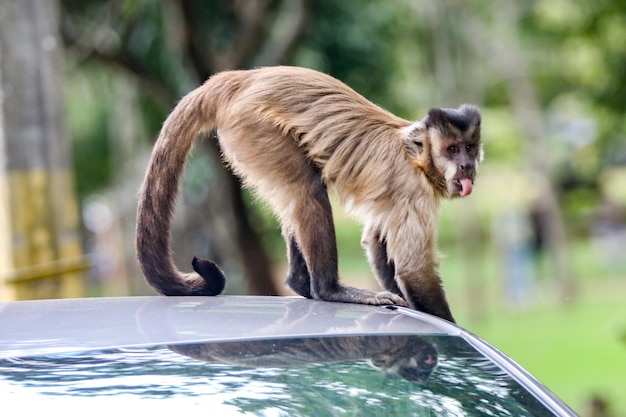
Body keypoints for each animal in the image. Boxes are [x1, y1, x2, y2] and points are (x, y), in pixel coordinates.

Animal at [134, 65, 480, 322]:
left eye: (470, 149)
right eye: (452, 150)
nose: (466, 166)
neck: (417, 158)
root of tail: (238, 79)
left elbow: (376, 241)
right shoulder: (413, 187)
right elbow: (412, 268)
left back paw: (301, 284)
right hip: (253, 127)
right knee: (307, 188)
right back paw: (329, 290)